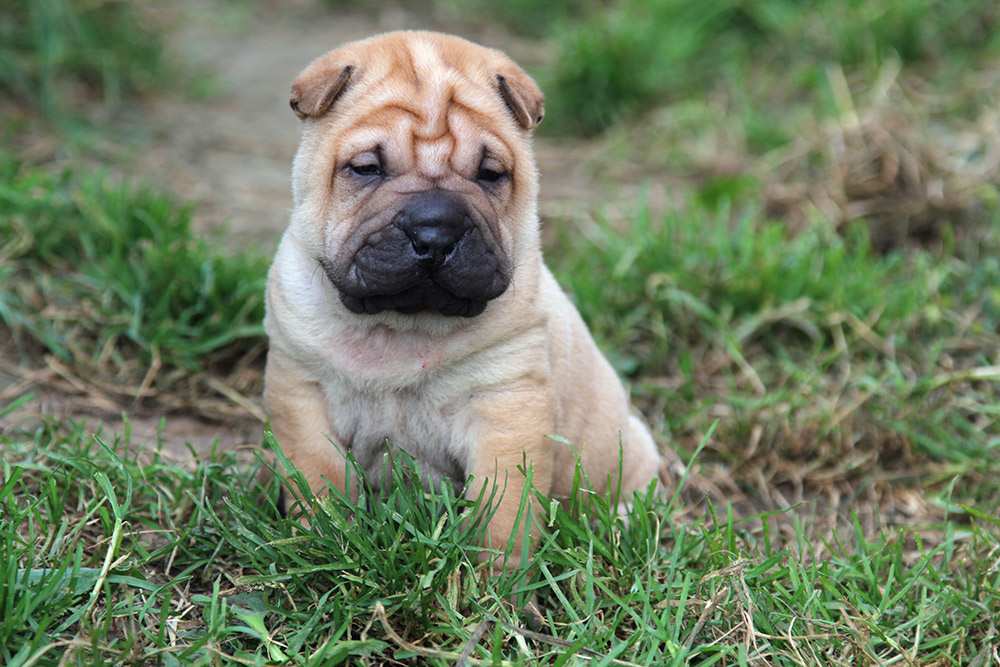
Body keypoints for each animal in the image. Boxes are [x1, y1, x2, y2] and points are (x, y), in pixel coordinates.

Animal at [263, 31, 661, 562]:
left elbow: (503, 509)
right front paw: (322, 541)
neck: (401, 325)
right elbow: (318, 477)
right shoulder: (301, 390)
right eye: (366, 168)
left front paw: (495, 575)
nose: (435, 234)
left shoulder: (506, 407)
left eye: (489, 174)